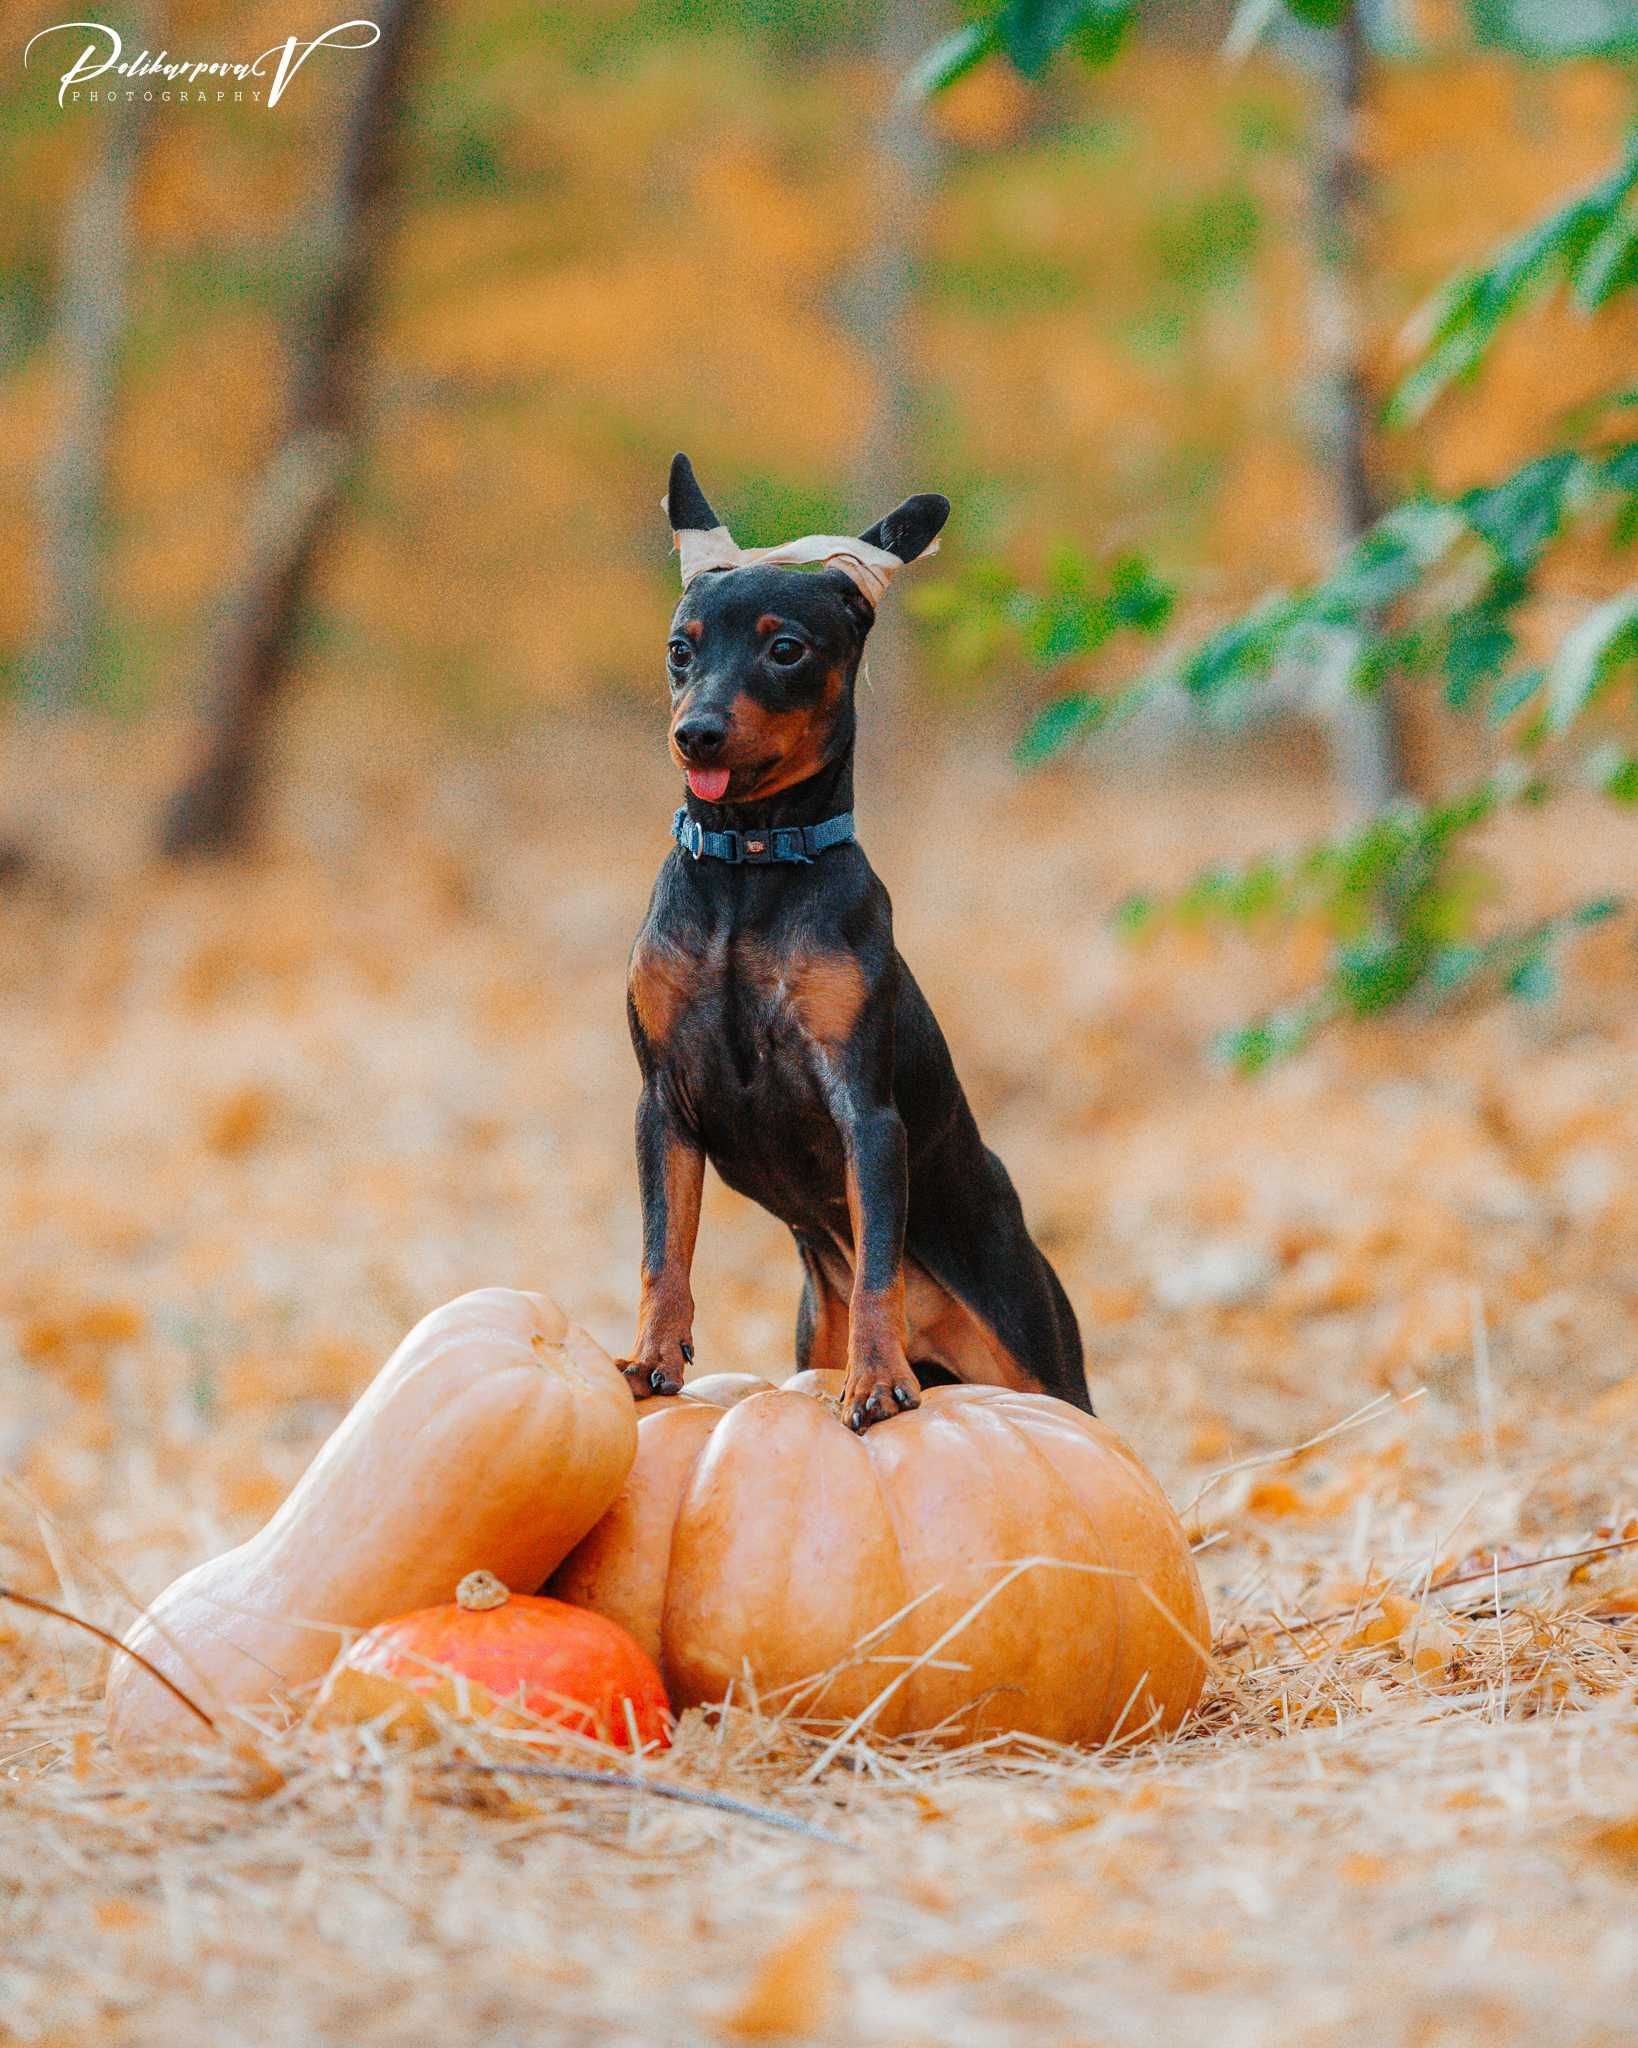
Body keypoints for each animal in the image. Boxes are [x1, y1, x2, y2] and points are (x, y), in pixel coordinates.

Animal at [622, 454, 1097, 1433]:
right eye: (682, 648)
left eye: (787, 650)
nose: (696, 734)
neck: (751, 870)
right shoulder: (662, 1102)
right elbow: (662, 1247)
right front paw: (653, 1358)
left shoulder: (865, 1112)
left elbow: (878, 1259)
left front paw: (875, 1378)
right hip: (815, 1325)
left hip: (1037, 1352)